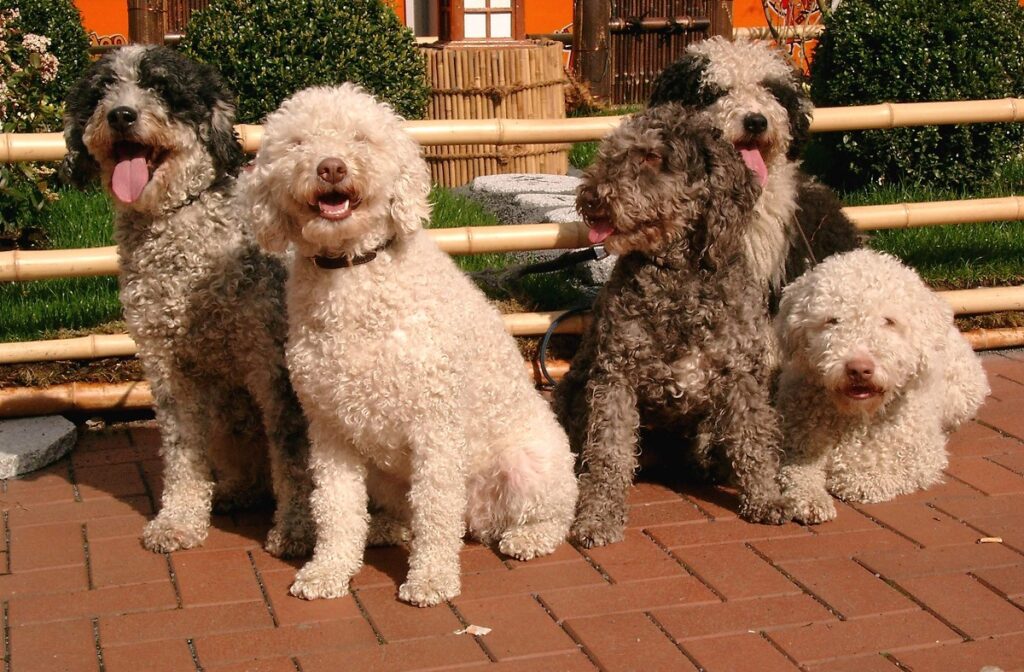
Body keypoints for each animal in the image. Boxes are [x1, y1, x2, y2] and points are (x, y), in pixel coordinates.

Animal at [236, 85, 581, 610]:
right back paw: (385, 529)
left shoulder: (434, 426)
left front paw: (431, 579)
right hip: (382, 471)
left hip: (530, 465)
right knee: (405, 514)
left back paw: (526, 537)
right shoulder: (329, 430)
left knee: (548, 514)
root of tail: (477, 520)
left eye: (362, 137)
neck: (354, 273)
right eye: (298, 143)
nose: (331, 167)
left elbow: (435, 513)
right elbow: (336, 509)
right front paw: (327, 571)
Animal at [557, 102, 786, 549]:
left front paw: (766, 497)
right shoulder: (615, 377)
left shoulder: (742, 374)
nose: (592, 197)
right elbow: (609, 454)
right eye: (612, 152)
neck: (678, 277)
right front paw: (599, 515)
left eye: (652, 157)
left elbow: (753, 439)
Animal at [774, 246, 991, 520]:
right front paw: (811, 498)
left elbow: (870, 476)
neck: (857, 418)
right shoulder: (795, 443)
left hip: (964, 392)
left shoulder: (922, 458)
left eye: (889, 321)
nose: (859, 369)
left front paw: (845, 477)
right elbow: (798, 471)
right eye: (832, 320)